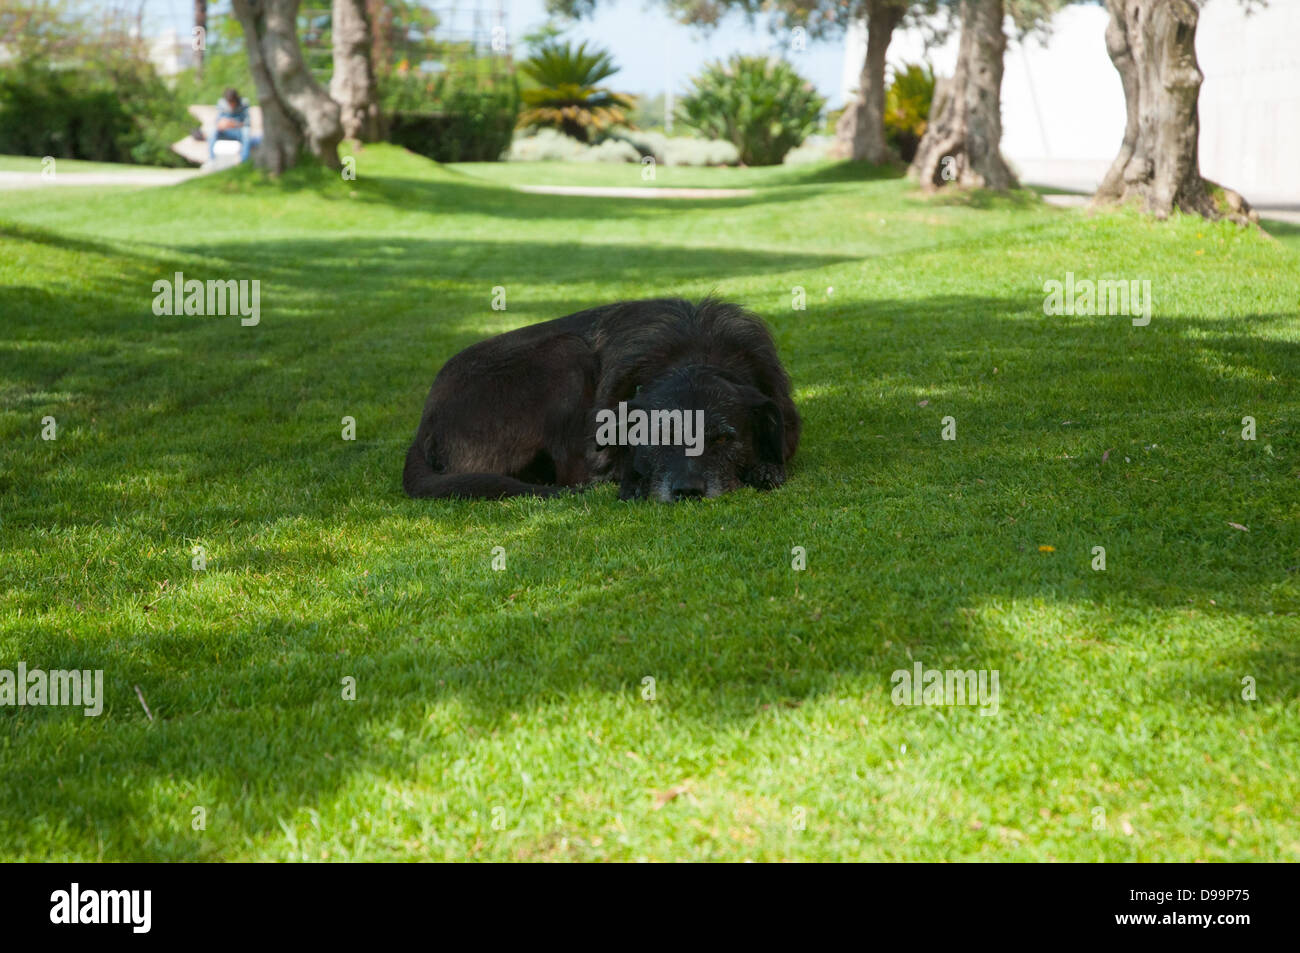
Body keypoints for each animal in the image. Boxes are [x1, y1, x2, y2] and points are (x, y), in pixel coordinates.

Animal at [400, 297, 795, 501]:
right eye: (660, 437)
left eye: (725, 439)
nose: (688, 491)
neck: (697, 352)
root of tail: (423, 428)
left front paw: (766, 468)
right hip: (566, 353)